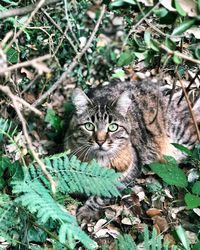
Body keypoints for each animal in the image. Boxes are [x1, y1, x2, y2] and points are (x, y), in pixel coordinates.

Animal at [64, 79, 200, 221]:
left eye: (113, 127)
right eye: (89, 126)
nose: (100, 141)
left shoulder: (127, 173)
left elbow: (101, 194)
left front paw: (87, 210)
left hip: (180, 137)